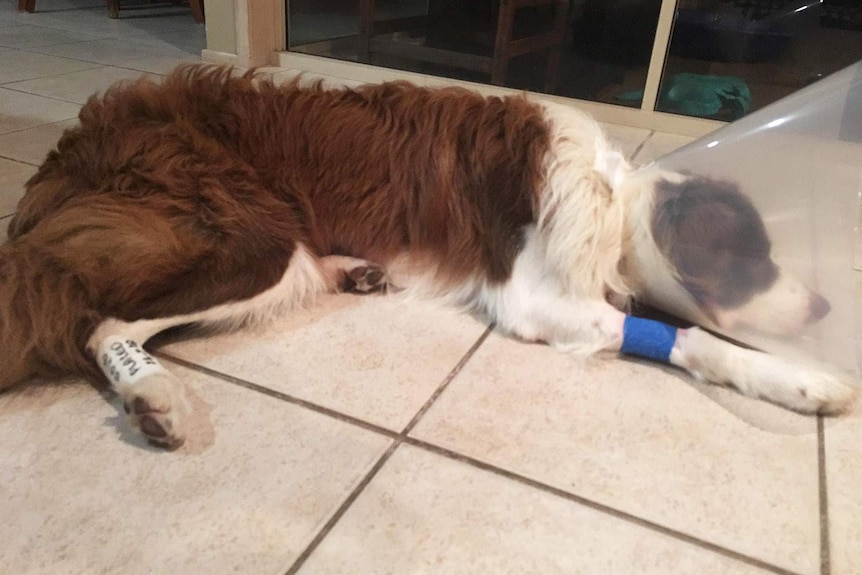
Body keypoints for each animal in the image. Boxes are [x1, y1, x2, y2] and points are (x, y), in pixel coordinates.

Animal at [0, 65, 856, 448]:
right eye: (754, 262)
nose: (823, 306)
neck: (614, 207)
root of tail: (75, 143)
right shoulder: (532, 296)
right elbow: (691, 334)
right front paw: (803, 376)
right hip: (255, 238)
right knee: (95, 320)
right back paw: (156, 399)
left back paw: (356, 268)